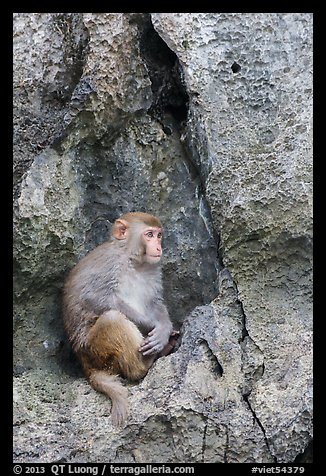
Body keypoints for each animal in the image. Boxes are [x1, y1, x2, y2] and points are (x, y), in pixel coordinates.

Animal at [63, 210, 176, 426]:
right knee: (112, 318)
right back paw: (144, 365)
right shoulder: (109, 263)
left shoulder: (153, 270)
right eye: (149, 235)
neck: (133, 261)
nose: (158, 246)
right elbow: (94, 298)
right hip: (94, 351)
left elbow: (155, 302)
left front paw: (164, 328)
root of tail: (85, 365)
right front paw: (154, 327)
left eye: (159, 235)